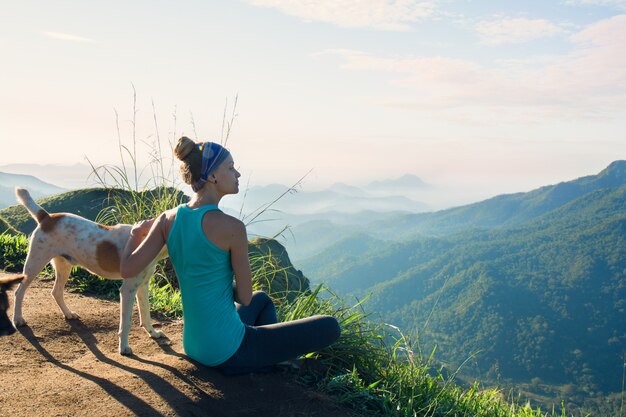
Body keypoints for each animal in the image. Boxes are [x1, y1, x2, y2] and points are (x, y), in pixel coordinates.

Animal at [13, 187, 167, 352]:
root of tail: (47, 217)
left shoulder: (142, 286)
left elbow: (146, 315)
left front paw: (153, 333)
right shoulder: (128, 289)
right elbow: (126, 322)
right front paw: (124, 348)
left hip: (64, 266)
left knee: (56, 292)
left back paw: (68, 313)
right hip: (35, 263)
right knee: (19, 292)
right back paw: (18, 319)